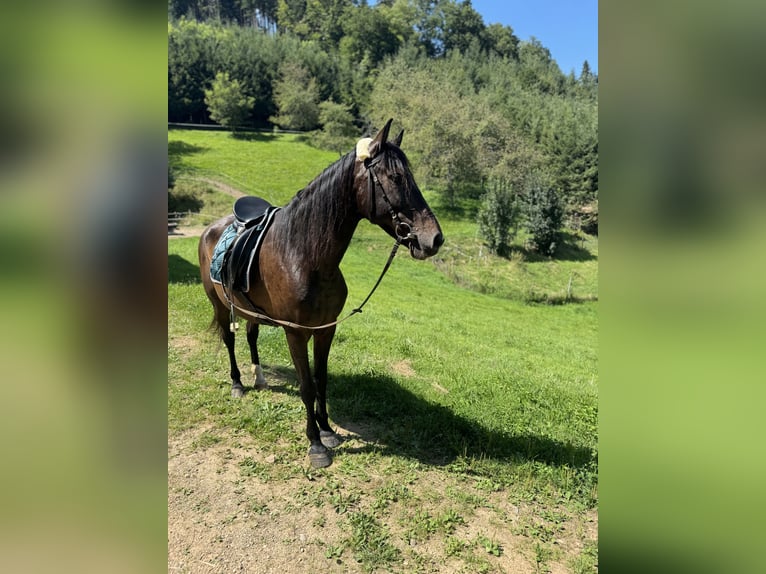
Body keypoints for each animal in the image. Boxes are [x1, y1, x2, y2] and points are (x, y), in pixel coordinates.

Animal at [198, 119, 444, 470]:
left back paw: (259, 378)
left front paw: (327, 430)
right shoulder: (296, 333)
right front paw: (315, 444)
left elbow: (322, 380)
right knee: (230, 340)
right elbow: (306, 386)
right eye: (396, 177)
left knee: (251, 336)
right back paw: (237, 384)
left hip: (250, 309)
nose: (434, 238)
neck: (303, 254)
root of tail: (211, 228)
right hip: (219, 305)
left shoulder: (326, 329)